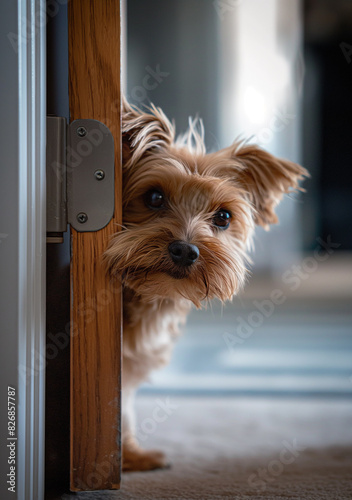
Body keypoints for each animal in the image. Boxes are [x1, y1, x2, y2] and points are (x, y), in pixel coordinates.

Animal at [103, 98, 306, 472]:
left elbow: (124, 408)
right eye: (154, 197)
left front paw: (133, 456)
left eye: (223, 217)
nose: (185, 249)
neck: (148, 299)